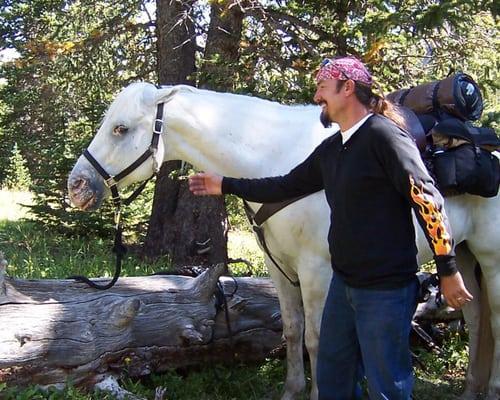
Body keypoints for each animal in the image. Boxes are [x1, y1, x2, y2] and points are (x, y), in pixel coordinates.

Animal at [67, 82, 500, 400]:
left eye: (121, 128)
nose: (76, 187)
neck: (276, 155)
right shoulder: (279, 268)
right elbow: (292, 330)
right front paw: (292, 392)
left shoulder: (316, 270)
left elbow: (316, 339)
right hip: (461, 256)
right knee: (477, 317)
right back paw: (469, 390)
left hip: (491, 258)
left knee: (493, 315)